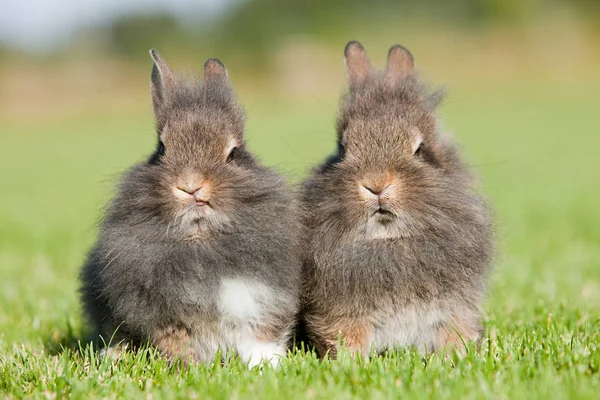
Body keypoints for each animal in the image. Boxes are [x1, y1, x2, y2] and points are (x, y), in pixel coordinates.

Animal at [79, 49, 302, 366]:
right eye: (161, 149)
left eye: (233, 154)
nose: (191, 186)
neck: (200, 238)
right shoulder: (163, 316)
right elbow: (176, 343)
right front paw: (190, 368)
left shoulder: (264, 301)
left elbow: (261, 338)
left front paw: (266, 366)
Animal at [300, 41, 492, 360]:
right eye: (343, 148)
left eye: (420, 149)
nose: (377, 185)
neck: (389, 239)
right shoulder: (342, 318)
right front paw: (351, 363)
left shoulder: (454, 310)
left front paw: (453, 358)